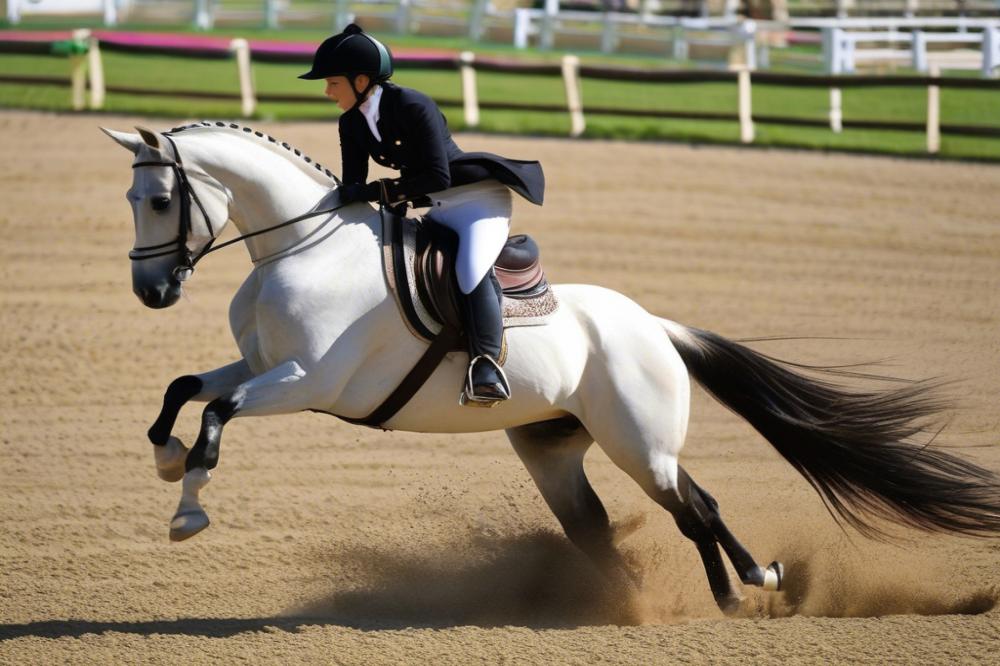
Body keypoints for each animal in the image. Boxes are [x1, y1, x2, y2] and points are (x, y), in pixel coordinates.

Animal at [103, 123, 1000, 612]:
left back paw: (741, 588)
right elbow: (185, 391)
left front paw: (187, 510)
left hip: (640, 440)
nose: (151, 291)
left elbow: (216, 420)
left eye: (160, 200)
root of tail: (657, 329)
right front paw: (165, 460)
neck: (296, 246)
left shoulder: (306, 383)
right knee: (606, 523)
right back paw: (687, 593)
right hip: (554, 446)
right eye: (130, 200)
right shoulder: (261, 366)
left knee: (693, 506)